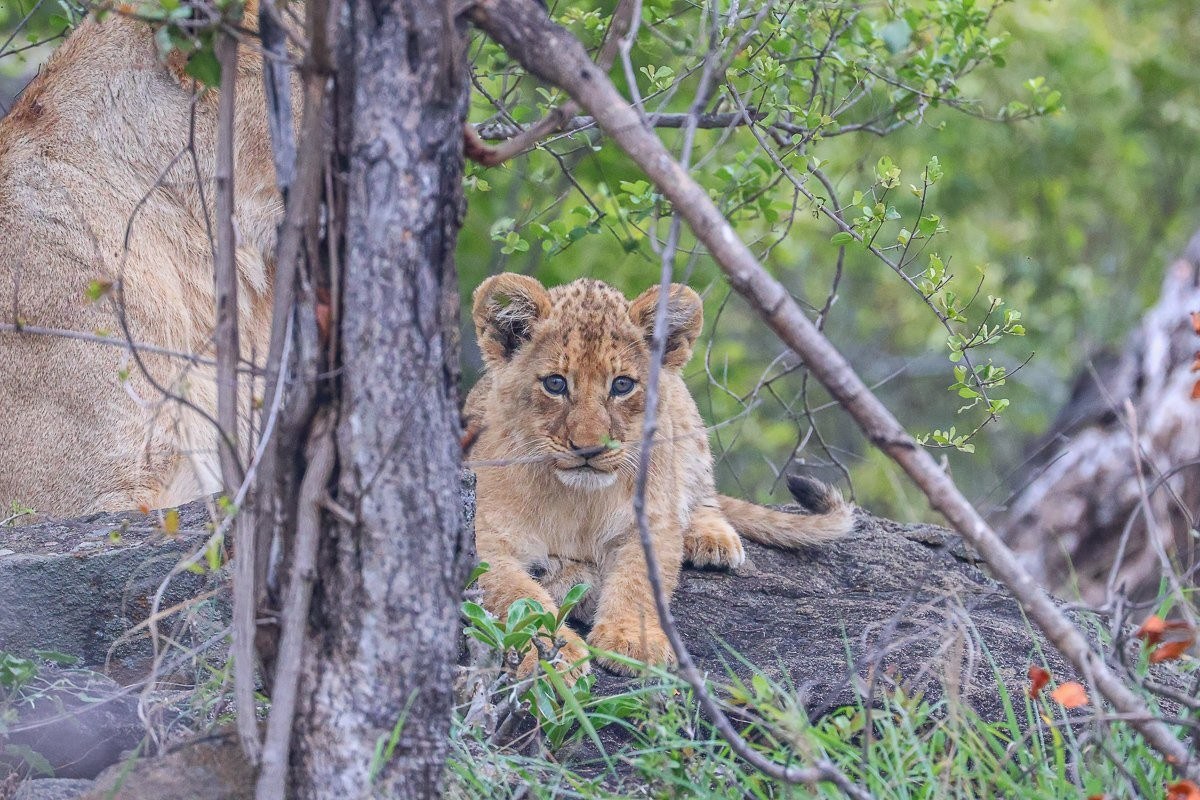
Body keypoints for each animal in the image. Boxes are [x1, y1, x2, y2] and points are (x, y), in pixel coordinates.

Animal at [464, 273, 854, 676]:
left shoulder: (651, 519)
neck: (579, 500)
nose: (589, 449)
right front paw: (553, 655)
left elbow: (640, 578)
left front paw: (632, 640)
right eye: (555, 384)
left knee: (703, 493)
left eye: (622, 385)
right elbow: (519, 597)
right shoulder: (480, 537)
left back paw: (709, 536)